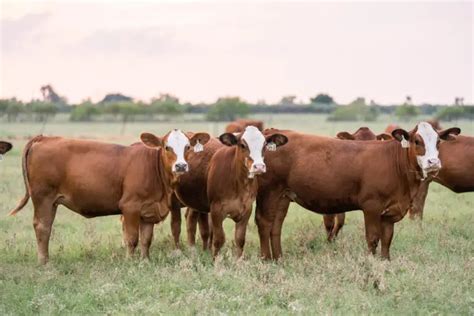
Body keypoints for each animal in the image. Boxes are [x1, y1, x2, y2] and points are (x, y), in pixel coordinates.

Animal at [8, 130, 209, 262]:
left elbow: (146, 239)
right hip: (43, 198)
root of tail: (44, 137)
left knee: (46, 227)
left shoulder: (149, 210)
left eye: (188, 146)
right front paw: (130, 262)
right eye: (167, 147)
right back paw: (44, 262)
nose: (181, 166)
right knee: (42, 227)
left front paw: (145, 261)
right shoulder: (130, 207)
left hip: (51, 203)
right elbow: (132, 238)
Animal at [208, 126, 288, 256]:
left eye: (264, 145)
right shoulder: (216, 210)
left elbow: (240, 239)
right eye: (242, 145)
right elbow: (219, 239)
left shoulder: (246, 210)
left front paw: (239, 260)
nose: (259, 166)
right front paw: (216, 260)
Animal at [256, 122, 460, 260]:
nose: (433, 162)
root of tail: (270, 133)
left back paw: (279, 258)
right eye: (417, 141)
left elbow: (387, 239)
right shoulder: (371, 206)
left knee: (276, 225)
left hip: (283, 196)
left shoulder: (390, 212)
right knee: (264, 222)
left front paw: (385, 262)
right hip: (269, 192)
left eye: (438, 141)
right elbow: (373, 238)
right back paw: (266, 259)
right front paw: (370, 262)